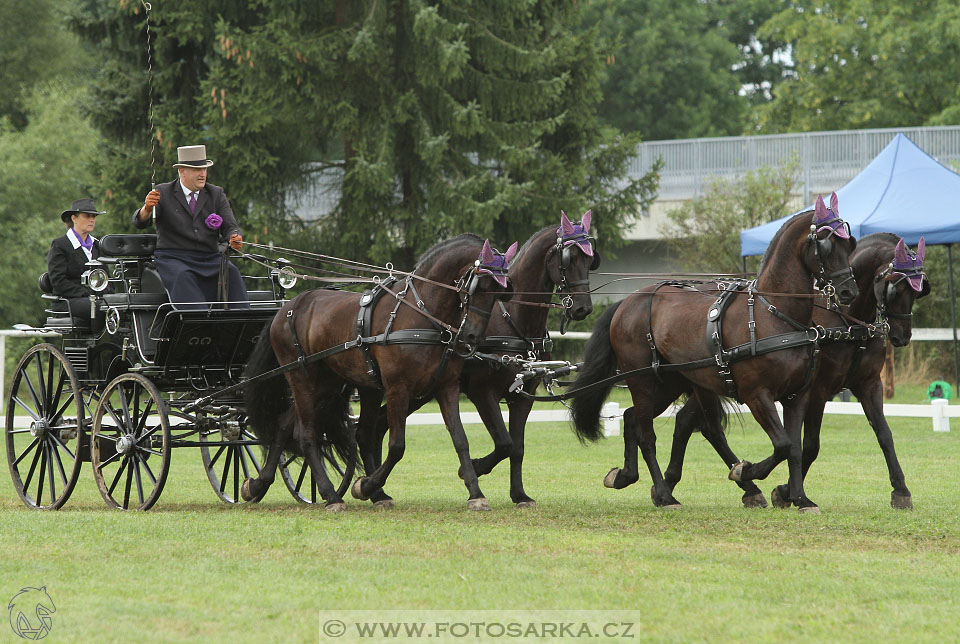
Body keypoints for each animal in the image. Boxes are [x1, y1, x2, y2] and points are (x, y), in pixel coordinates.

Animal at [244, 234, 516, 510]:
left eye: (499, 293)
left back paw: (258, 484)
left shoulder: (446, 386)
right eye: (478, 288)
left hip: (328, 384)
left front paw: (475, 493)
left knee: (286, 426)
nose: (472, 337)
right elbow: (397, 446)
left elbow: (460, 439)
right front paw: (365, 485)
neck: (421, 313)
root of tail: (287, 307)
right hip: (301, 378)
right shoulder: (397, 388)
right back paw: (331, 495)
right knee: (307, 434)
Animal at [568, 196, 856, 512]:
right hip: (642, 381)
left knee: (634, 419)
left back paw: (626, 476)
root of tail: (628, 302)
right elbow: (782, 445)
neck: (775, 315)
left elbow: (793, 448)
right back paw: (665, 494)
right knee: (648, 435)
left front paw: (800, 498)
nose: (848, 291)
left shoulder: (797, 396)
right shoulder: (757, 396)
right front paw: (744, 470)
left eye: (850, 244)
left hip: (671, 383)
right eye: (827, 245)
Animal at [664, 234, 928, 510]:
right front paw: (786, 491)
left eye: (919, 290)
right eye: (895, 288)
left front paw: (901, 490)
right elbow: (809, 446)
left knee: (688, 421)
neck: (846, 321)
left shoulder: (869, 385)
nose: (902, 336)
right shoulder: (818, 390)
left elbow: (884, 434)